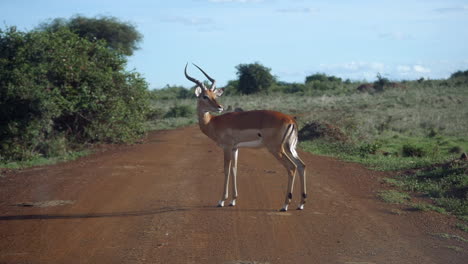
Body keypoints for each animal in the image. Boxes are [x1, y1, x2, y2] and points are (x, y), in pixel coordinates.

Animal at [185, 63, 308, 210]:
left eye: (214, 95)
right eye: (205, 96)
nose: (220, 107)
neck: (213, 123)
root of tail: (291, 120)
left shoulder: (227, 147)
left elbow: (226, 170)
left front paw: (221, 201)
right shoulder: (235, 148)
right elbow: (234, 169)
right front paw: (233, 200)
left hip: (276, 149)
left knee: (291, 167)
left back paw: (285, 205)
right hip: (290, 147)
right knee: (301, 165)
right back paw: (301, 204)